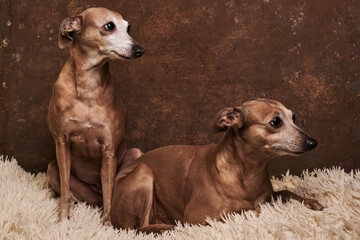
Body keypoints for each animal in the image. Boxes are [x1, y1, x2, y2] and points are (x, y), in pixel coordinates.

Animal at [46, 7, 143, 225]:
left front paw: (107, 225)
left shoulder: (109, 152)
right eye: (109, 26)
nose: (139, 50)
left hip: (135, 155)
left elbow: (109, 196)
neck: (88, 86)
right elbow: (65, 192)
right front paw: (62, 221)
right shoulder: (62, 143)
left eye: (128, 28)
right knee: (73, 194)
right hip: (52, 168)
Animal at [110, 98, 324, 232]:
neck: (247, 172)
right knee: (139, 228)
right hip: (144, 172)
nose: (313, 142)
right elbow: (249, 211)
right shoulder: (199, 218)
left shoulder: (267, 195)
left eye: (293, 118)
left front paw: (308, 200)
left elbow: (283, 192)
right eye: (276, 121)